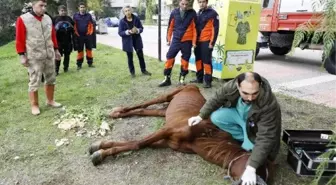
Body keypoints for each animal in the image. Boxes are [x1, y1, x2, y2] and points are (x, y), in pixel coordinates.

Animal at [88, 84, 272, 184]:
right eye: (257, 170)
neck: (204, 134)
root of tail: (194, 86)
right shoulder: (167, 130)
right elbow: (137, 143)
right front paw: (99, 151)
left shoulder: (166, 141)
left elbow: (137, 143)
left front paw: (100, 149)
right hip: (169, 95)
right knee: (147, 103)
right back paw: (117, 111)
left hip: (165, 112)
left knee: (144, 110)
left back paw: (117, 113)